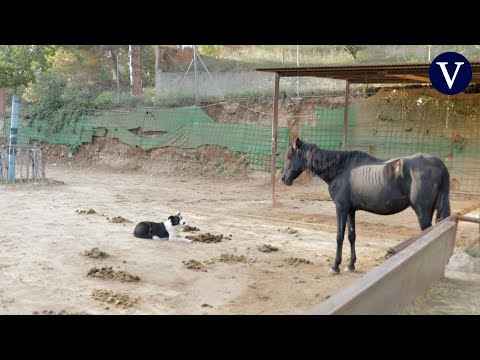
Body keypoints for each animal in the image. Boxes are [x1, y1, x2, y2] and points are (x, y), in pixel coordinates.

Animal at [282, 138, 450, 272]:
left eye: (290, 156)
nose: (284, 179)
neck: (340, 169)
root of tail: (438, 163)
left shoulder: (341, 209)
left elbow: (339, 236)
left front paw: (335, 266)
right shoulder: (350, 210)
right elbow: (351, 236)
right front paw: (350, 265)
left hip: (423, 212)